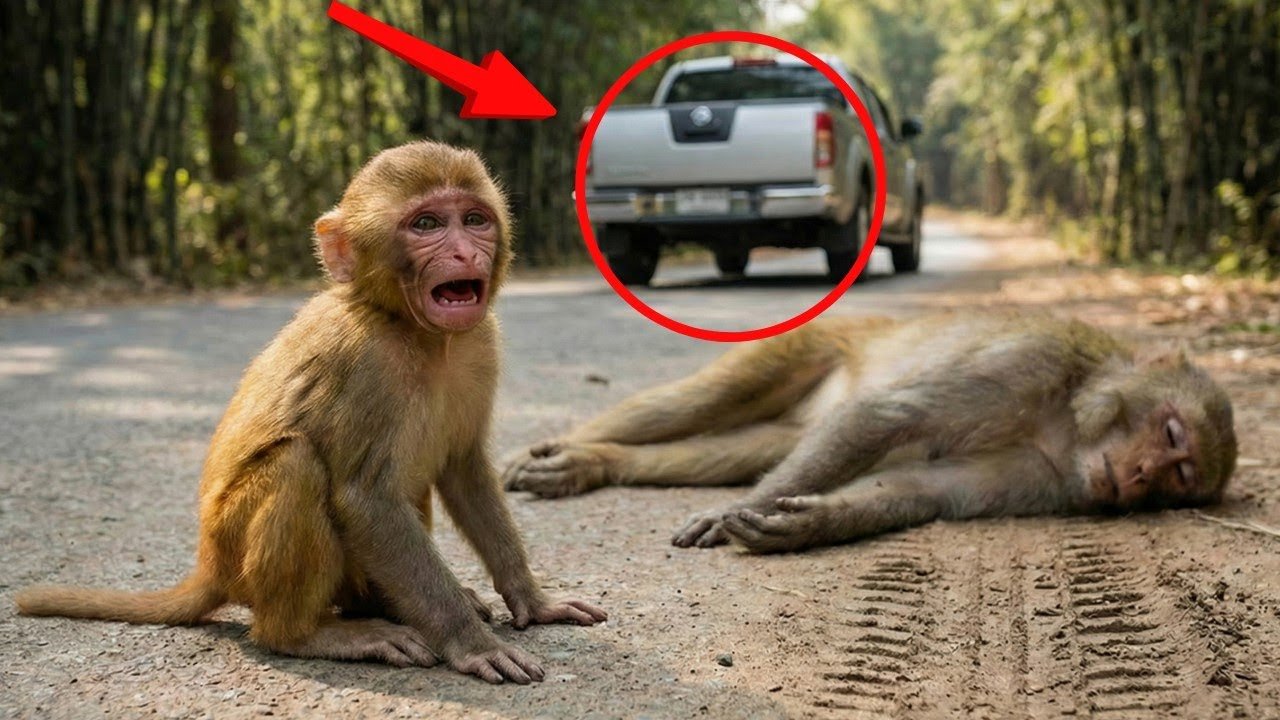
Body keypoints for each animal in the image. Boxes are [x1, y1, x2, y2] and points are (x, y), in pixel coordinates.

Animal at [16, 141, 607, 684]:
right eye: (428, 224)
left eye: (475, 219)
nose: (464, 253)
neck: (417, 333)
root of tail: (208, 564)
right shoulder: (364, 361)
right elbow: (366, 500)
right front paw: (470, 641)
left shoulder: (480, 344)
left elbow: (463, 470)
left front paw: (532, 600)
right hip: (237, 554)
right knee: (296, 465)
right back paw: (307, 634)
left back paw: (379, 606)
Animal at [503, 313, 1238, 554]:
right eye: (1171, 432)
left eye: (1179, 478)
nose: (1139, 475)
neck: (1068, 422)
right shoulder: (1033, 360)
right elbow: (885, 417)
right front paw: (738, 512)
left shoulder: (1053, 479)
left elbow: (917, 489)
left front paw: (802, 524)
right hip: (812, 342)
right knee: (698, 403)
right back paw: (553, 449)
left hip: (799, 418)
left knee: (736, 449)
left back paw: (594, 462)